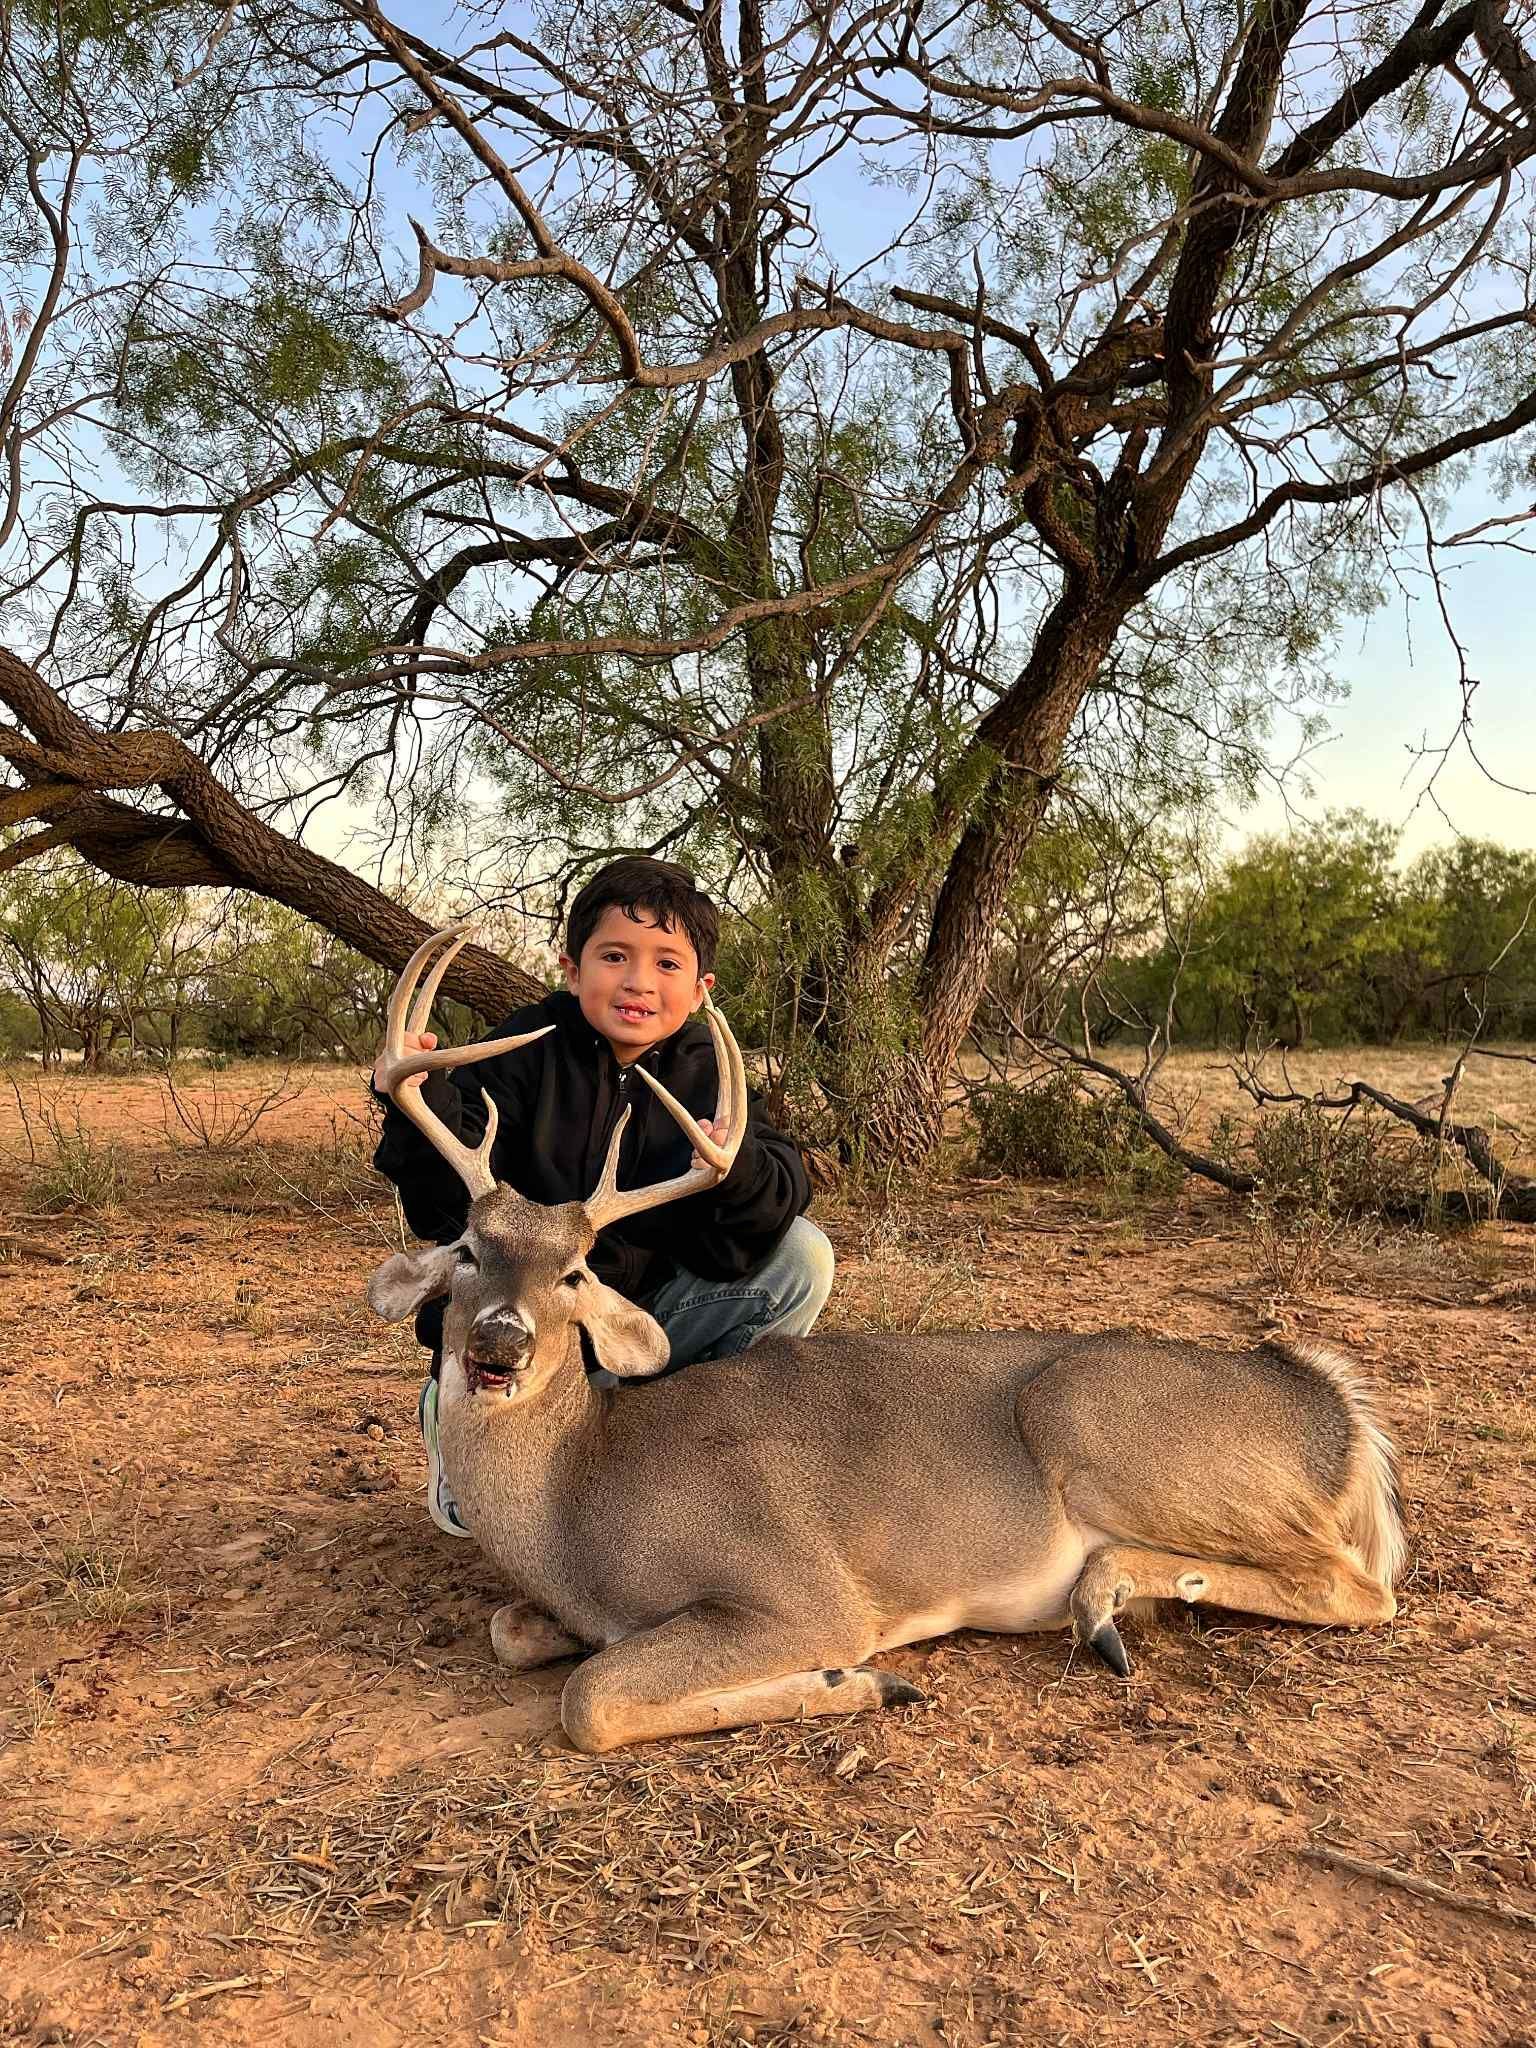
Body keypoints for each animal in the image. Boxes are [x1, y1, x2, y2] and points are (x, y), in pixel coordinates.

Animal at [368, 926, 1405, 1755]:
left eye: (576, 1275)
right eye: (466, 1250)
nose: (499, 1346)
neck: (578, 1501)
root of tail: (1332, 1409)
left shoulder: (801, 1588)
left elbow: (591, 1699)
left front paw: (862, 1681)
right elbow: (516, 1633)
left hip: (1099, 1419)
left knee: (1358, 1586)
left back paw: (1104, 1597)